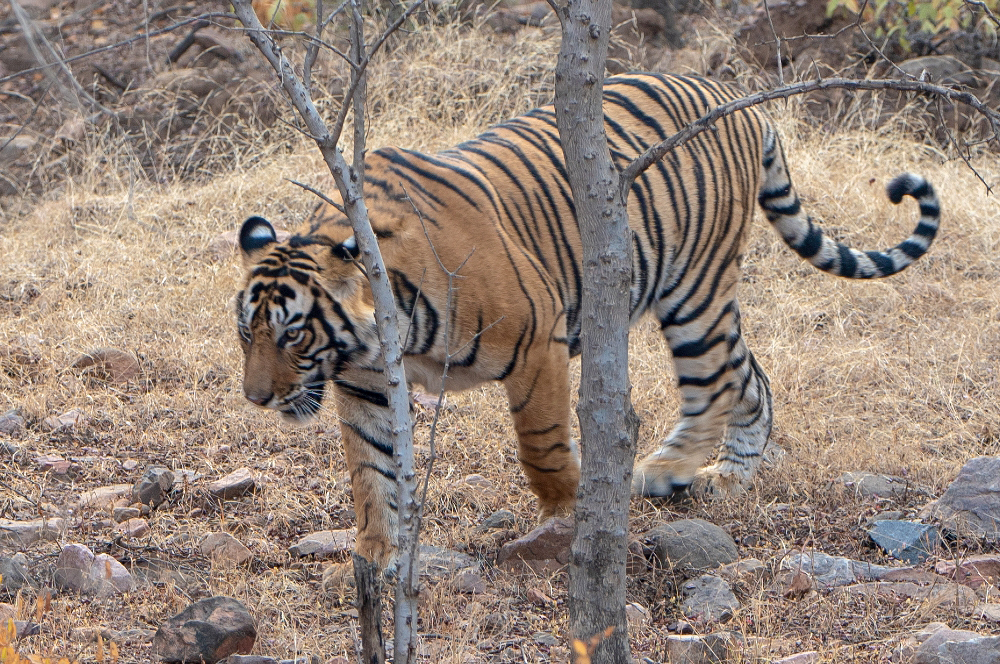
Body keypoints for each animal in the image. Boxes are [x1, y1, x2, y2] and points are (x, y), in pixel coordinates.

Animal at [238, 74, 940, 572]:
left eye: (294, 333)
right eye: (248, 332)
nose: (257, 397)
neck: (387, 327)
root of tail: (736, 99)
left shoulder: (536, 341)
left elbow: (541, 444)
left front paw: (567, 518)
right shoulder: (366, 384)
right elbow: (372, 471)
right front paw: (375, 557)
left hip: (693, 287)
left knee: (714, 382)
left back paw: (664, 469)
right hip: (707, 300)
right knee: (751, 378)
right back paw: (729, 476)